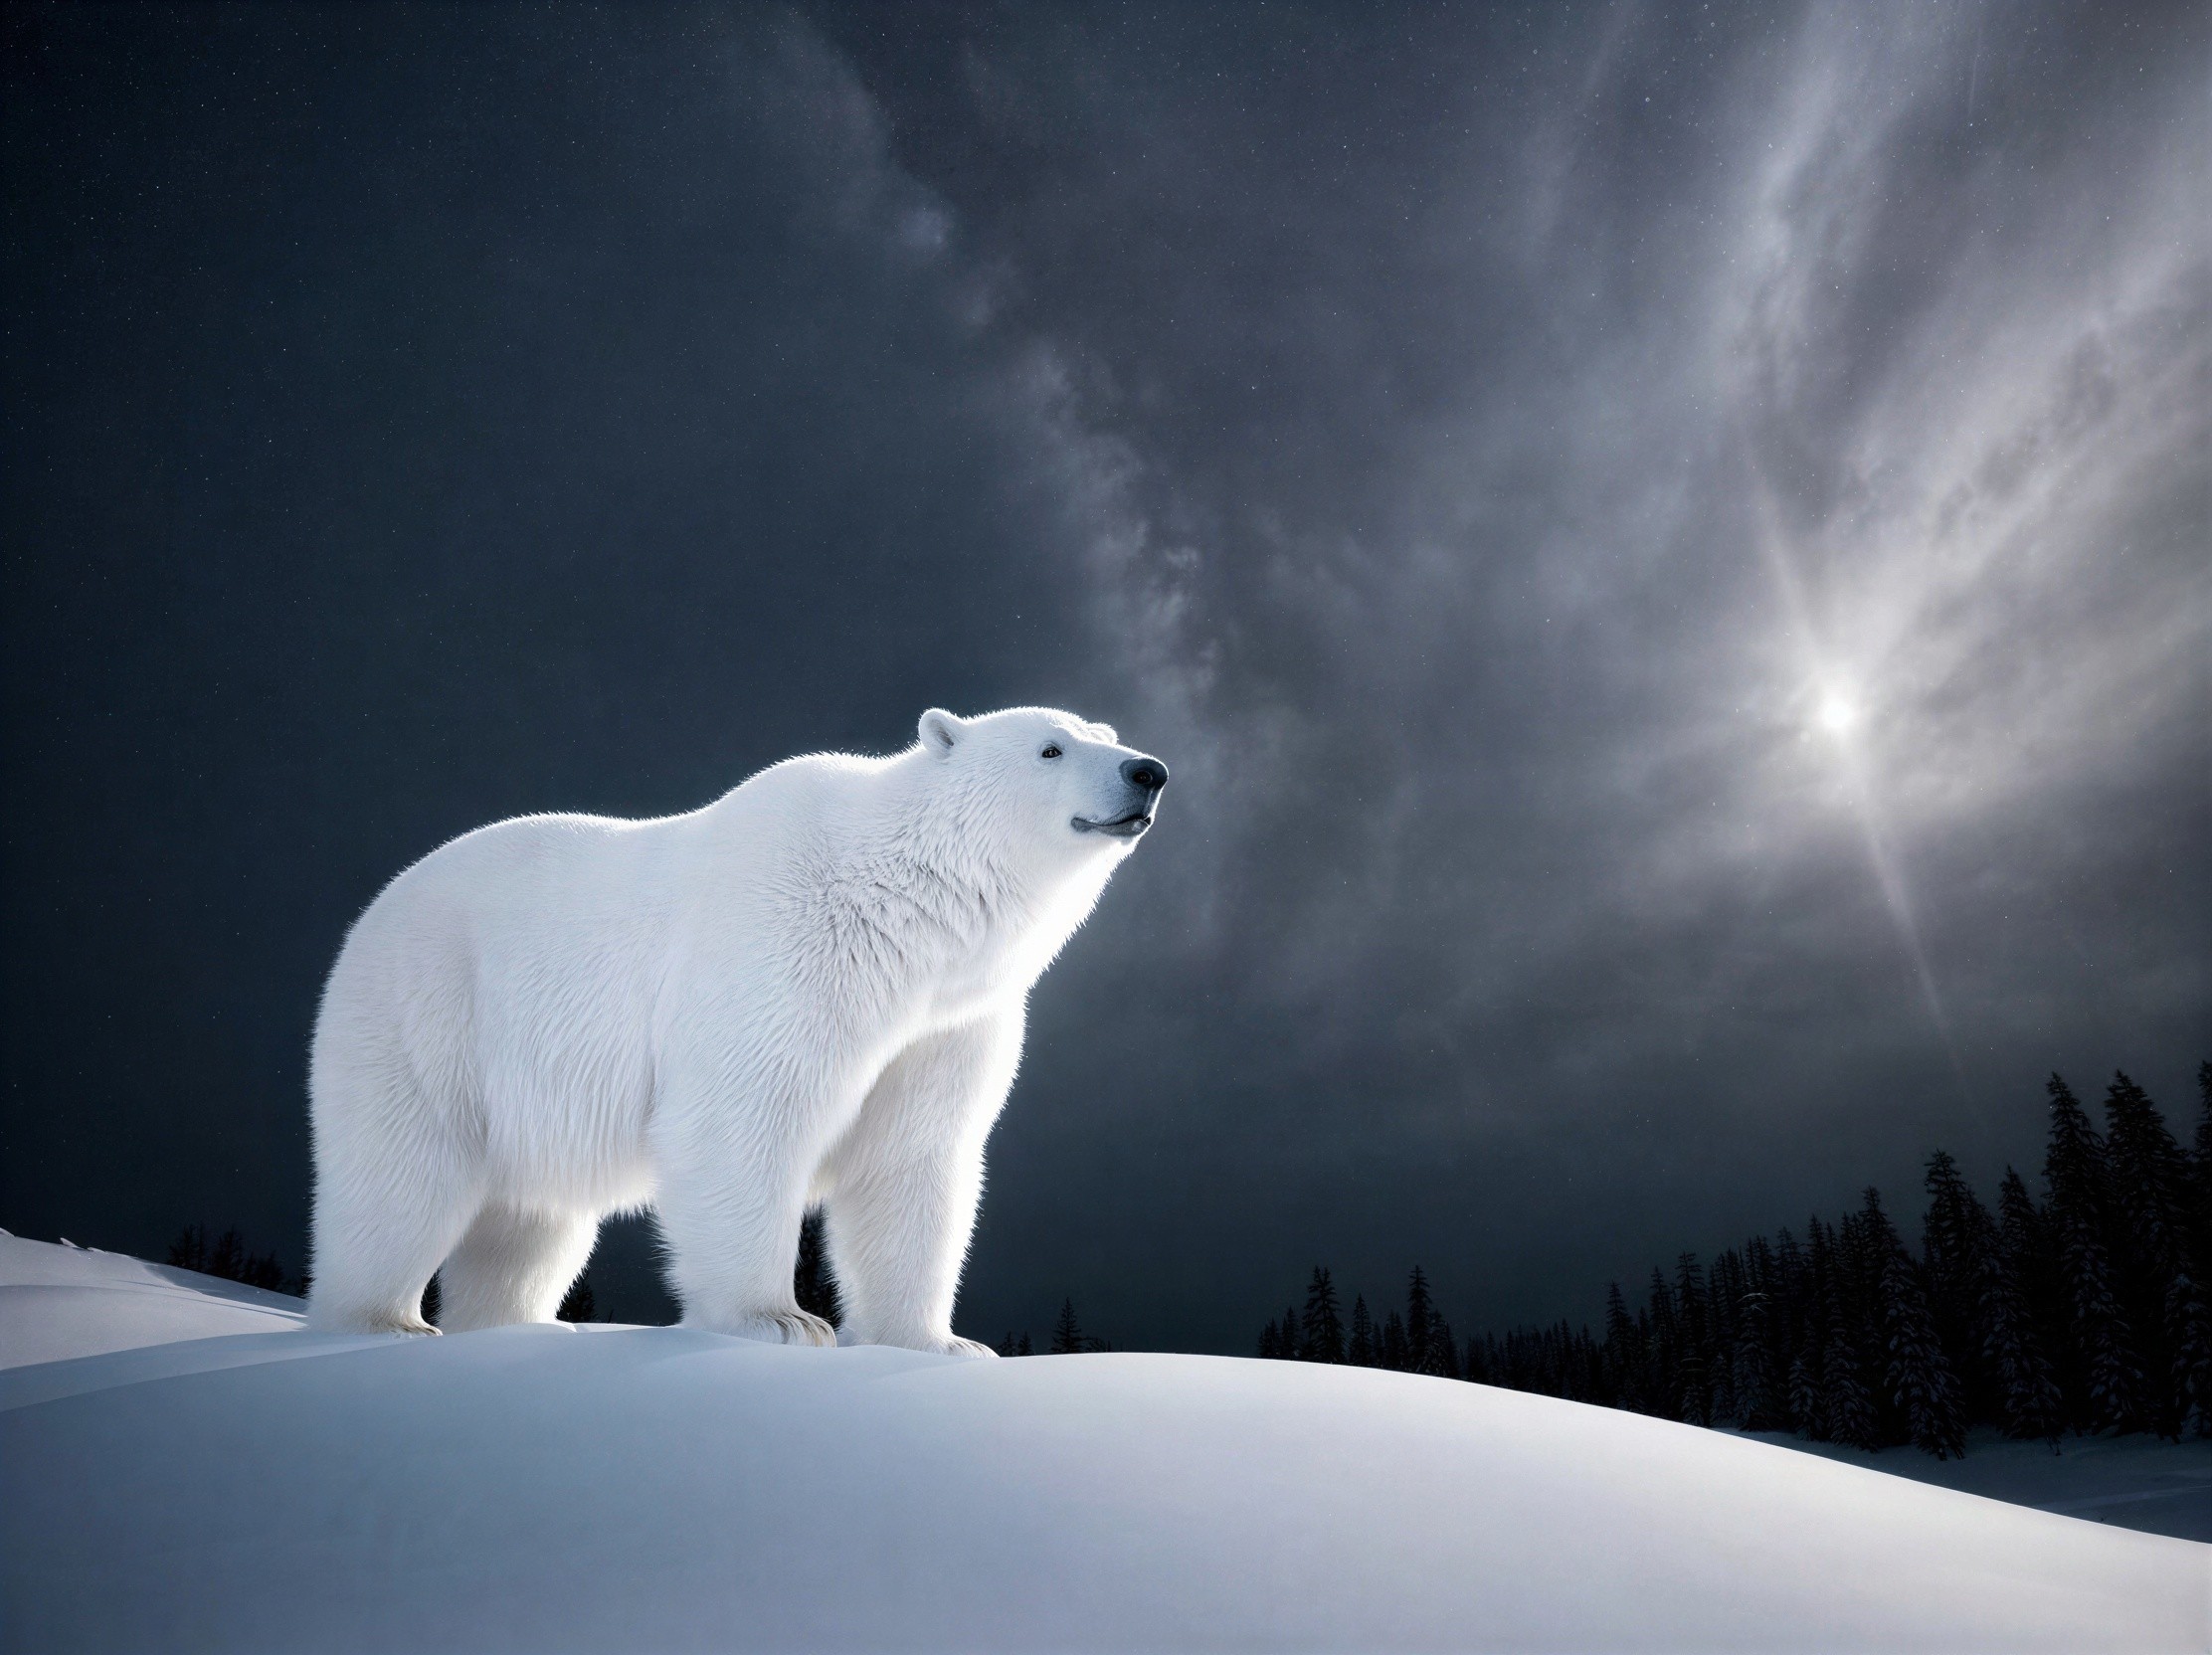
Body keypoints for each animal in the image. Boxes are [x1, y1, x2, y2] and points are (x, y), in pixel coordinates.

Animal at [304, 706, 1167, 1354]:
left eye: (1106, 731)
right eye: (1051, 746)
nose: (1147, 771)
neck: (900, 914)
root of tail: (373, 914)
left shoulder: (944, 1025)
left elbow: (910, 1160)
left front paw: (937, 1341)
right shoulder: (781, 956)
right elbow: (744, 1118)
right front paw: (778, 1319)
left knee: (530, 1225)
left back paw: (512, 1326)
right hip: (427, 1020)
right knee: (400, 1178)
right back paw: (383, 1321)